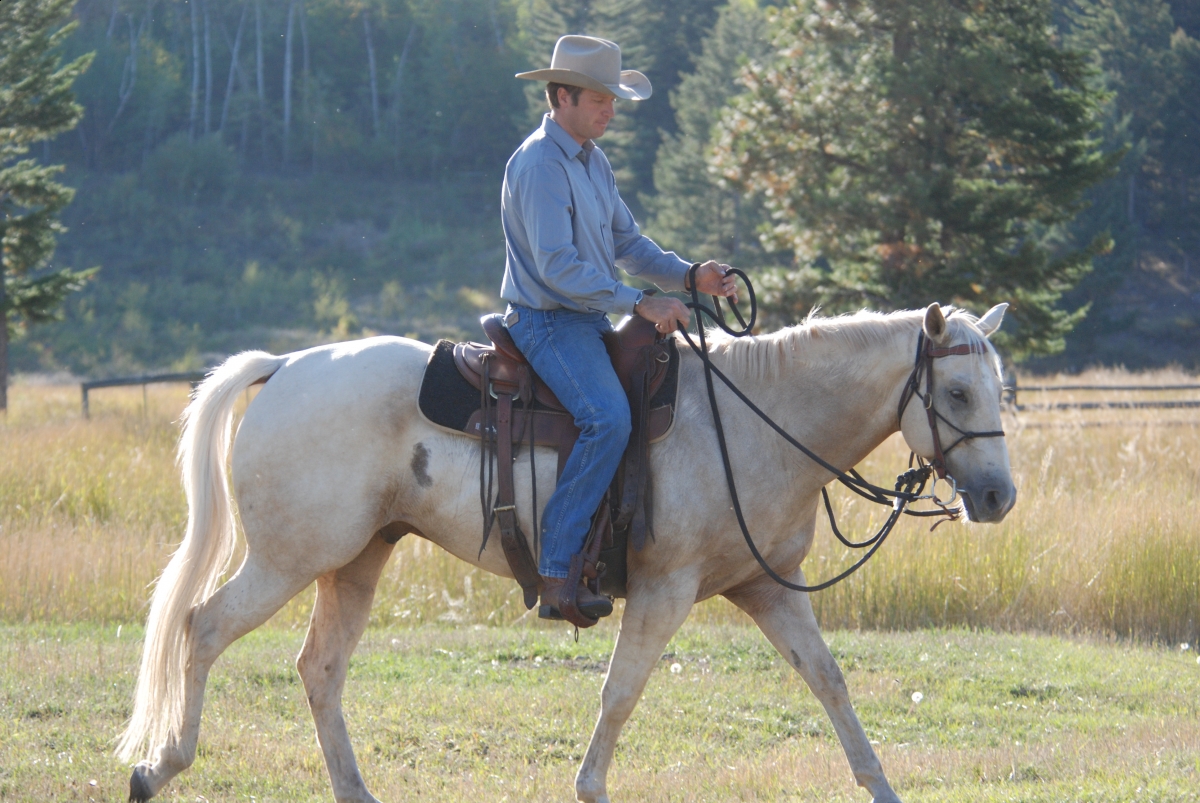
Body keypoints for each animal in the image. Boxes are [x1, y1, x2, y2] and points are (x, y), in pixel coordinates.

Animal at [117, 301, 1015, 803]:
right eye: (957, 390)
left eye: (999, 389)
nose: (1000, 497)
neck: (756, 419)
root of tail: (283, 366)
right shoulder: (664, 588)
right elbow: (620, 692)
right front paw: (590, 788)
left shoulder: (769, 586)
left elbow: (829, 682)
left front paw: (883, 786)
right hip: (287, 558)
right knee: (202, 627)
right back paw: (158, 766)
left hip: (356, 559)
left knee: (319, 668)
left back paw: (353, 790)